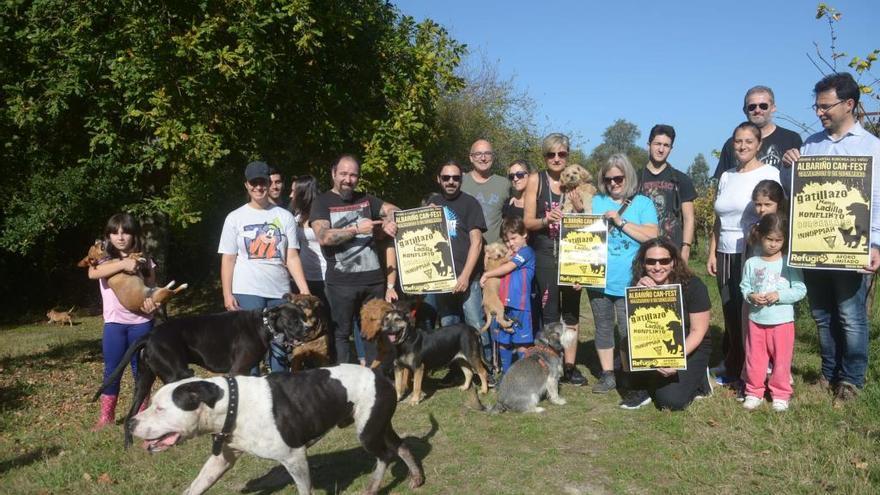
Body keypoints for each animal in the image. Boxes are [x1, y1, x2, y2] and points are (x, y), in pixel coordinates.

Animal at [130, 364, 426, 495]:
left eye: (160, 408)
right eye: (152, 404)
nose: (131, 422)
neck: (231, 403)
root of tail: (380, 375)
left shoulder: (294, 458)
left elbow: (304, 491)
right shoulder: (220, 460)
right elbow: (196, 486)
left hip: (367, 433)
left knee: (384, 456)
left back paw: (373, 487)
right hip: (379, 425)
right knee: (401, 446)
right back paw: (416, 477)